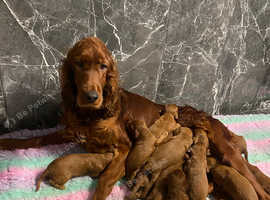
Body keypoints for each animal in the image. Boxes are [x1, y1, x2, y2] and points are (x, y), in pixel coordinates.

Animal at [0, 36, 268, 200]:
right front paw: (7, 142)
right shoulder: (71, 131)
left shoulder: (124, 148)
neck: (91, 114)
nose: (91, 96)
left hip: (226, 151)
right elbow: (34, 140)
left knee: (254, 181)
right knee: (253, 171)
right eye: (79, 64)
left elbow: (105, 179)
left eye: (103, 66)